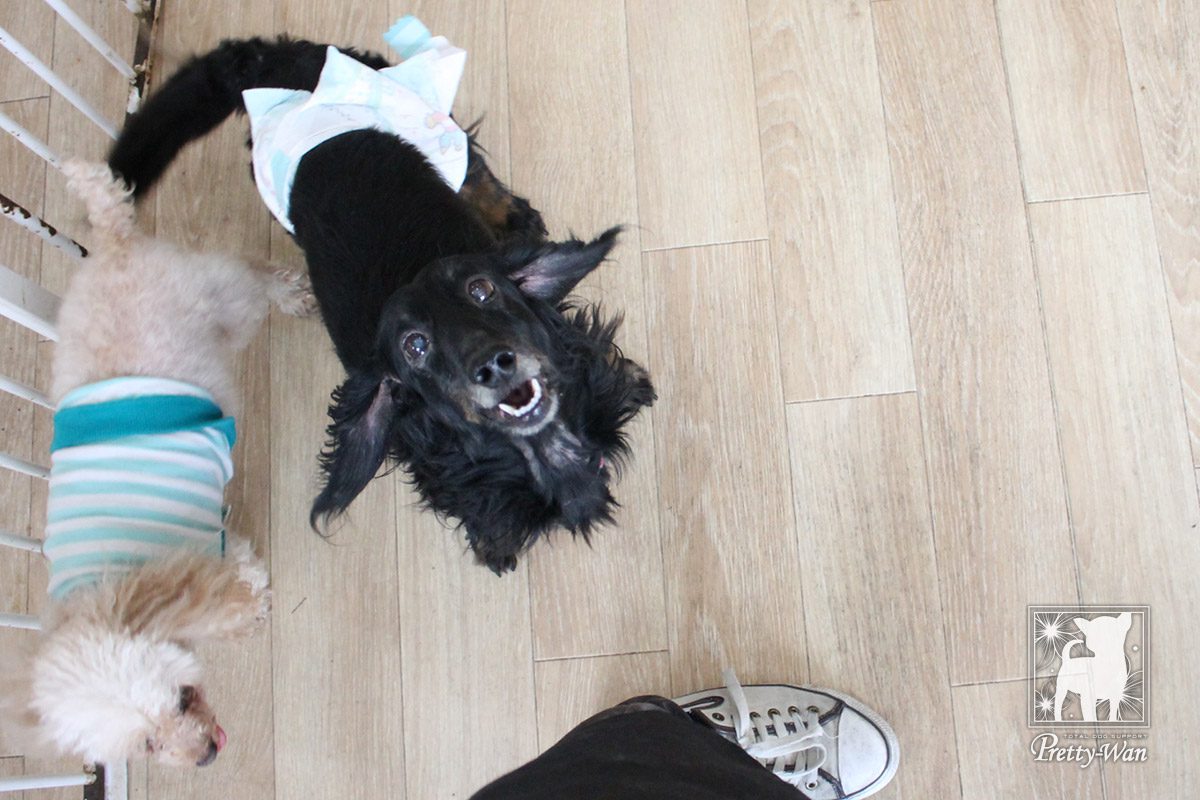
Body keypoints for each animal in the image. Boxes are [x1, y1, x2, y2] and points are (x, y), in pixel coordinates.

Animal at [0, 161, 311, 767]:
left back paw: (291, 293)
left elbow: (244, 586)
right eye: (148, 744)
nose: (205, 755)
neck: (109, 590)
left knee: (255, 277)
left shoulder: (215, 552)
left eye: (180, 699)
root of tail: (112, 241)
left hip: (227, 304)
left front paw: (253, 614)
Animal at [107, 35, 656, 572]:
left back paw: (513, 216)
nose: (495, 365)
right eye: (414, 346)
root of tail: (266, 63)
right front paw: (495, 548)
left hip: (425, 120)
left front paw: (636, 386)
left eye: (481, 289)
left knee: (473, 169)